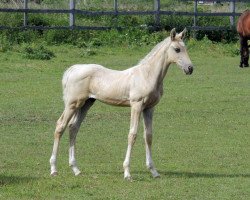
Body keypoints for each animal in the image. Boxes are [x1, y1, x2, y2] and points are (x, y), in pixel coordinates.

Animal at [49, 28, 193, 180]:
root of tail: (73, 69)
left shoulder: (149, 108)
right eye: (177, 49)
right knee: (60, 126)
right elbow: (132, 135)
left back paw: (75, 169)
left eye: (185, 48)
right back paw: (53, 169)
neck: (147, 75)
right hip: (72, 104)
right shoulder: (136, 105)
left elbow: (148, 136)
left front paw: (153, 171)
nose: (190, 68)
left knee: (73, 127)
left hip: (86, 104)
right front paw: (127, 173)